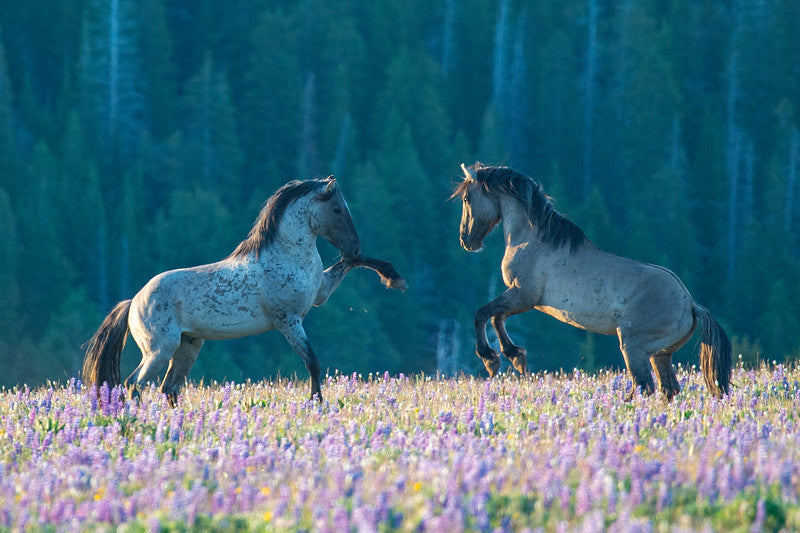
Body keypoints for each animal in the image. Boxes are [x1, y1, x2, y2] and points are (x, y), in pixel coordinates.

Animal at [82, 176, 406, 405]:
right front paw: (316, 403)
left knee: (168, 388)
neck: (287, 254)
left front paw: (394, 278)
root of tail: (133, 302)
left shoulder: (320, 294)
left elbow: (351, 264)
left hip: (189, 345)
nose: (354, 245)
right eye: (337, 209)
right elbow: (312, 362)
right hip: (160, 348)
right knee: (134, 384)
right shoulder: (289, 321)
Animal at [452, 163, 731, 401]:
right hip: (661, 354)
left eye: (467, 199)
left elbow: (483, 314)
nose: (466, 240)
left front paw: (491, 358)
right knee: (667, 388)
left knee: (644, 387)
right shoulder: (524, 299)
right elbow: (497, 318)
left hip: (633, 347)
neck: (532, 239)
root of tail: (690, 304)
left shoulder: (523, 295)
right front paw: (516, 357)